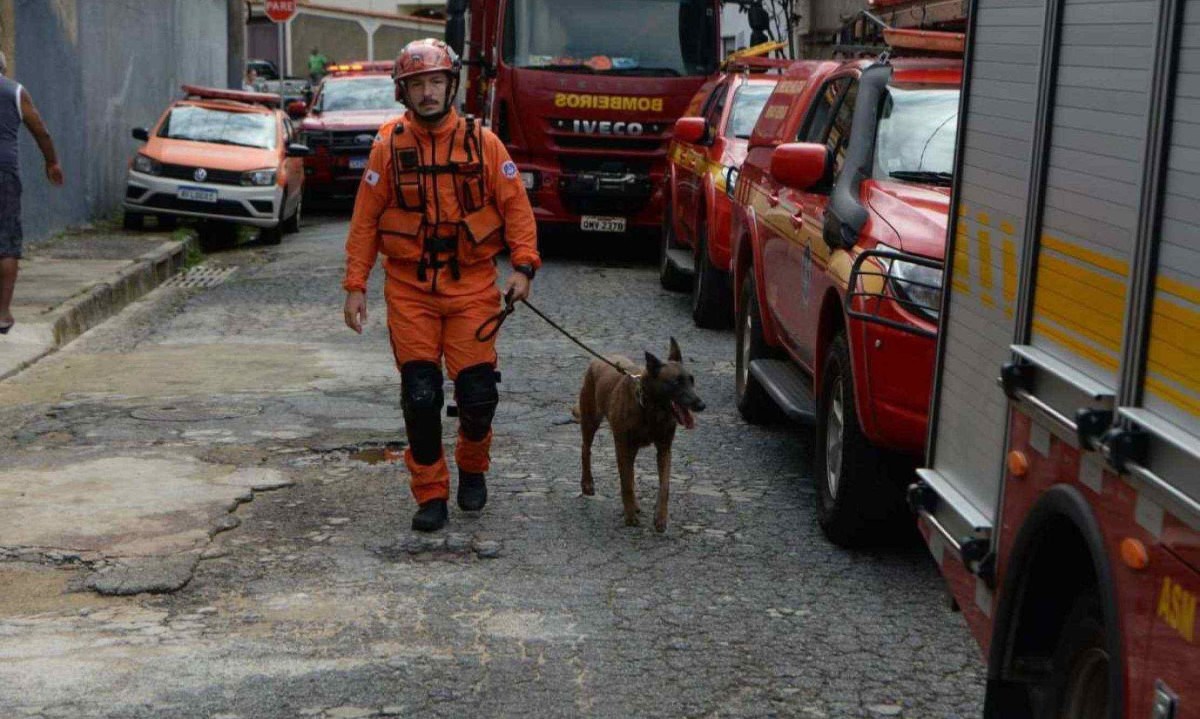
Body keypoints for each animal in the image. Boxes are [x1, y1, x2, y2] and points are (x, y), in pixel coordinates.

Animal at [578, 333, 700, 530]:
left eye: (692, 380)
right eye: (675, 382)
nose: (701, 404)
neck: (650, 410)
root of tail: (600, 359)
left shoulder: (664, 449)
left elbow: (664, 486)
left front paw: (660, 517)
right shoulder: (621, 446)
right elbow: (626, 483)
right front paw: (629, 516)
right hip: (591, 421)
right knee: (585, 449)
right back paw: (587, 483)